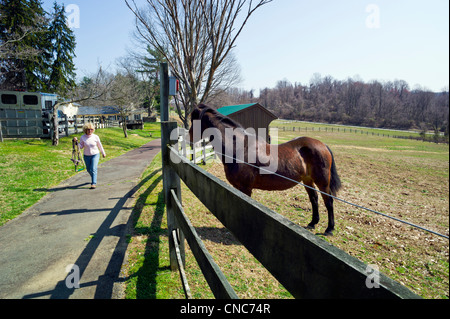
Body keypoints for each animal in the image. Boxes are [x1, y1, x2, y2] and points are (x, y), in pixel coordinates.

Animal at [189, 104, 342, 235]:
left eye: (194, 120)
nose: (189, 137)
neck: (239, 148)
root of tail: (322, 145)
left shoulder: (245, 187)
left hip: (322, 181)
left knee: (328, 201)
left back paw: (329, 229)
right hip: (307, 180)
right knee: (314, 198)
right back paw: (312, 223)